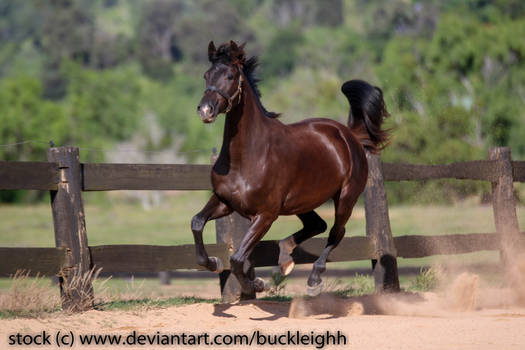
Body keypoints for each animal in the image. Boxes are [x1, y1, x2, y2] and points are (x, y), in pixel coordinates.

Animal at [192, 41, 388, 298]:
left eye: (230, 76)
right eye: (206, 75)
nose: (205, 110)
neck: (247, 157)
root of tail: (350, 136)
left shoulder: (265, 215)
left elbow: (237, 259)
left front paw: (256, 284)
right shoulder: (225, 202)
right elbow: (197, 222)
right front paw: (214, 262)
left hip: (346, 198)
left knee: (336, 232)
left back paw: (313, 280)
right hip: (302, 201)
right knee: (317, 225)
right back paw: (284, 260)